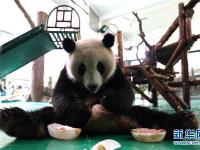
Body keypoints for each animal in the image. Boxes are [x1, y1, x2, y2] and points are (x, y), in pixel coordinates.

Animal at [0, 34, 198, 139]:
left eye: (100, 67)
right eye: (81, 68)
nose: (93, 86)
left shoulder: (116, 72)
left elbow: (125, 92)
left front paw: (108, 99)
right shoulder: (66, 74)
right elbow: (61, 94)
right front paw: (80, 109)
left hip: (134, 114)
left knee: (151, 115)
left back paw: (183, 121)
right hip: (62, 119)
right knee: (45, 115)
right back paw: (15, 120)